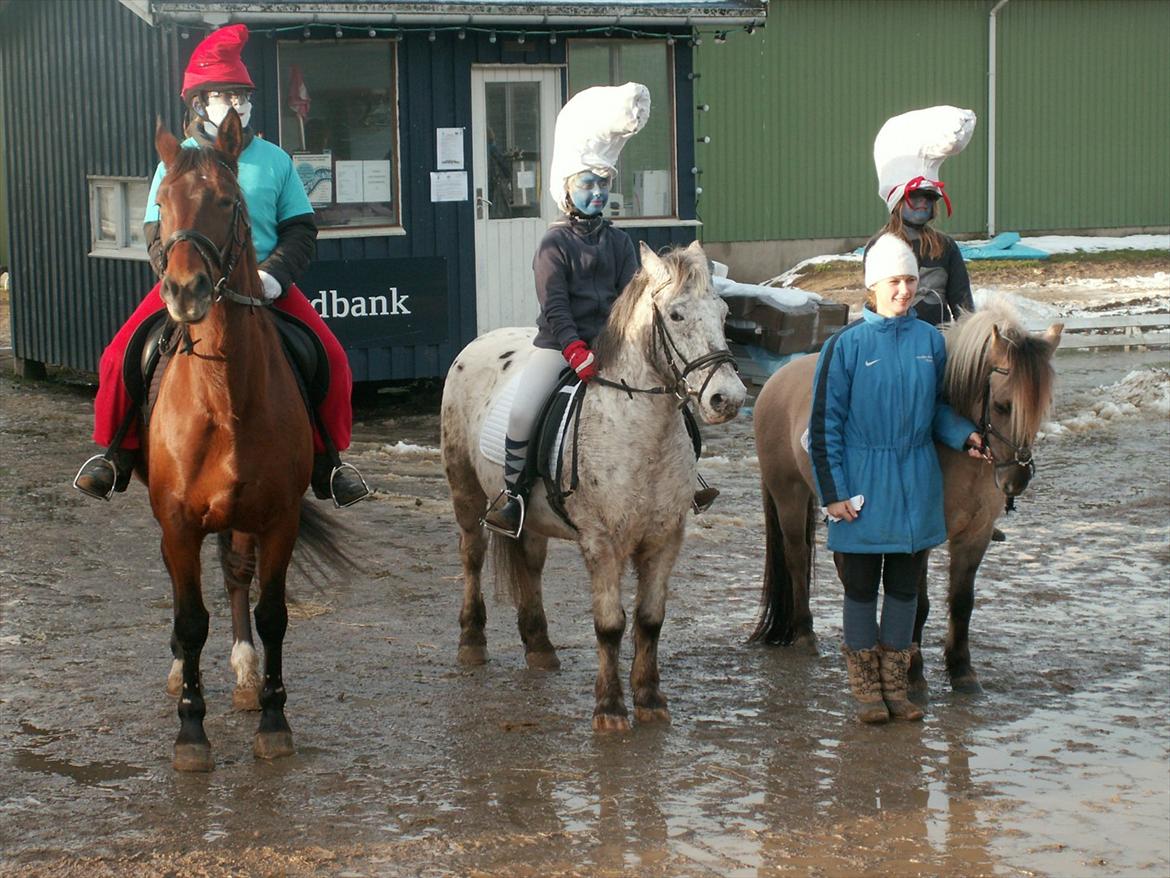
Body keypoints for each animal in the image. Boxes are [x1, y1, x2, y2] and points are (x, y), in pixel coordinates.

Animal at [147, 113, 346, 772]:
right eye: (162, 202)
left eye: (227, 202)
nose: (185, 291)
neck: (223, 392)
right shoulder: (178, 520)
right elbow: (189, 619)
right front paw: (190, 732)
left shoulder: (278, 517)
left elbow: (273, 613)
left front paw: (273, 720)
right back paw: (183, 673)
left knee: (236, 575)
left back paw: (243, 670)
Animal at [748, 306, 1062, 697]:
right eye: (1003, 406)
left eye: (1041, 408)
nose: (1015, 480)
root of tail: (775, 382)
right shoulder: (920, 541)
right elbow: (919, 604)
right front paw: (913, 675)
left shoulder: (975, 536)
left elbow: (962, 602)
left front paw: (962, 671)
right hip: (788, 494)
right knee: (796, 556)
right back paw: (806, 634)